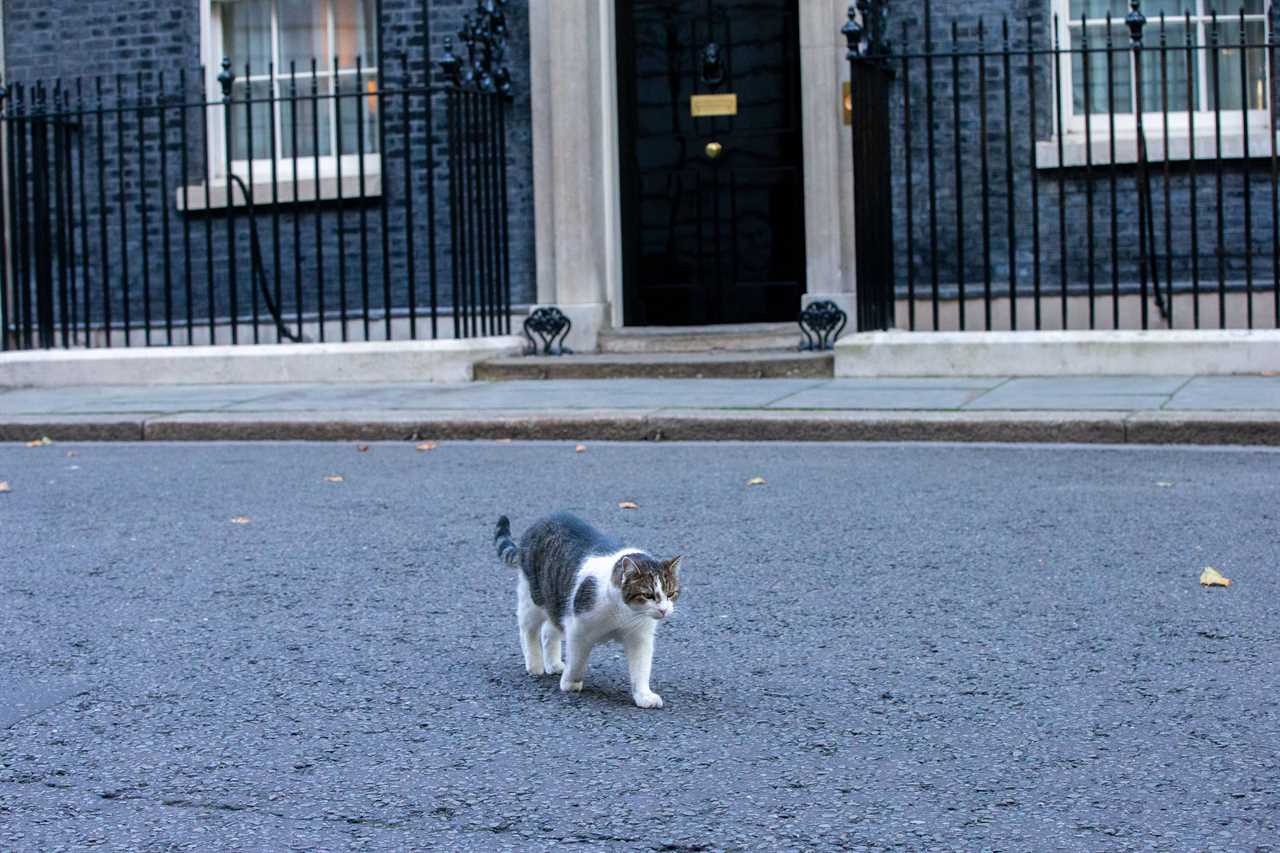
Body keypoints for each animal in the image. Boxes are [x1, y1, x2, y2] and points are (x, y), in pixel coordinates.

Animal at [494, 512, 686, 701]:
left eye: (671, 593)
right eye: (648, 595)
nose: (664, 610)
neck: (624, 613)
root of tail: (541, 520)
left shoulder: (640, 636)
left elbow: (641, 667)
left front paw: (644, 695)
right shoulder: (577, 628)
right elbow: (577, 661)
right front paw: (571, 682)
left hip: (557, 600)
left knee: (548, 629)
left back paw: (553, 664)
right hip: (533, 596)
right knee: (528, 630)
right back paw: (534, 664)